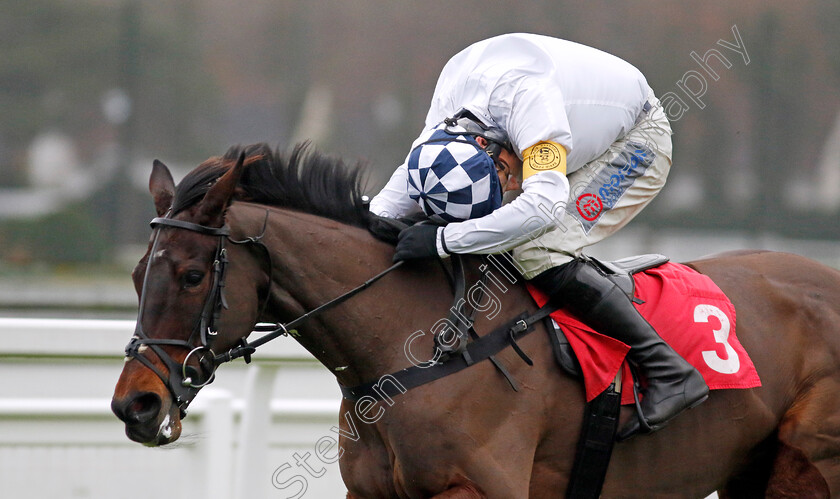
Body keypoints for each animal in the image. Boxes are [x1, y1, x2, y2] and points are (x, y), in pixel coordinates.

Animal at [111, 143, 840, 498]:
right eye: (137, 274)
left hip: (807, 464)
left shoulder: (476, 490)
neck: (415, 352)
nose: (134, 405)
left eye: (192, 275)